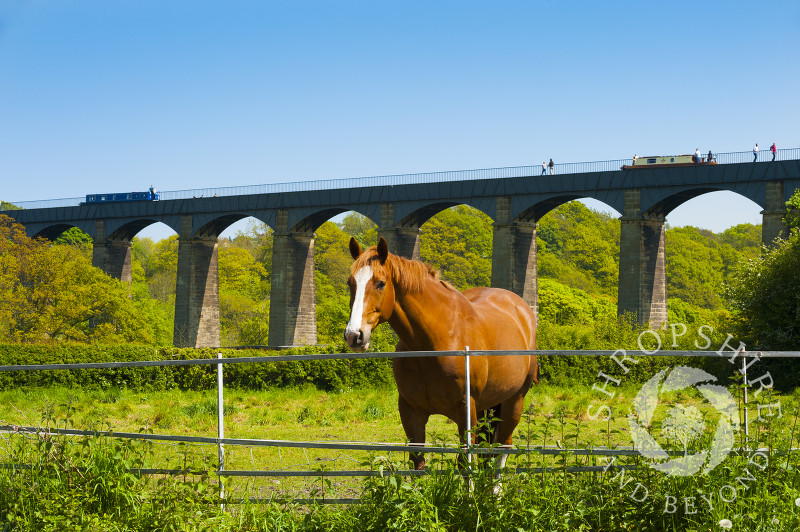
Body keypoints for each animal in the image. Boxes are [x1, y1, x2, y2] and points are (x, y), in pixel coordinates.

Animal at [344, 237, 536, 470]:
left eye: (380, 283)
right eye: (351, 283)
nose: (354, 335)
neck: (435, 342)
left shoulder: (466, 411)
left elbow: (465, 464)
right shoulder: (411, 412)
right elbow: (417, 464)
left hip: (513, 402)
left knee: (502, 448)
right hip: (489, 407)